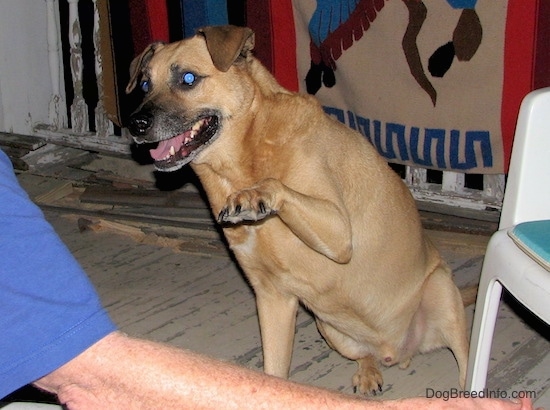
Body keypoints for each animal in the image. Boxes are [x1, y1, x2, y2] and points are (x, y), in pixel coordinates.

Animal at [127, 24, 472, 394]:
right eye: (145, 83)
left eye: (188, 79)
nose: (135, 124)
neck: (243, 158)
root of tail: (400, 351)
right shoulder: (272, 297)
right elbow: (274, 373)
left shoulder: (339, 232)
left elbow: (277, 187)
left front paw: (254, 197)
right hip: (331, 329)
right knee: (367, 354)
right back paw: (369, 371)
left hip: (441, 292)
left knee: (467, 360)